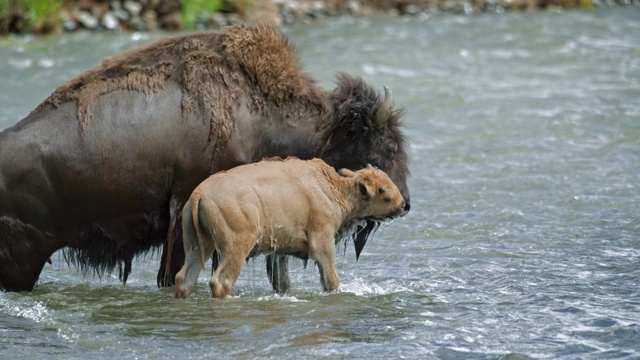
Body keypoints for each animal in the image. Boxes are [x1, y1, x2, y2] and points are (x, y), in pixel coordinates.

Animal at [175, 157, 404, 298]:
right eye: (383, 190)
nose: (404, 205)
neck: (334, 189)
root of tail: (199, 194)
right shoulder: (322, 243)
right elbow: (331, 279)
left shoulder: (280, 251)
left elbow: (283, 283)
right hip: (235, 247)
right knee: (221, 281)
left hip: (197, 246)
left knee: (183, 278)